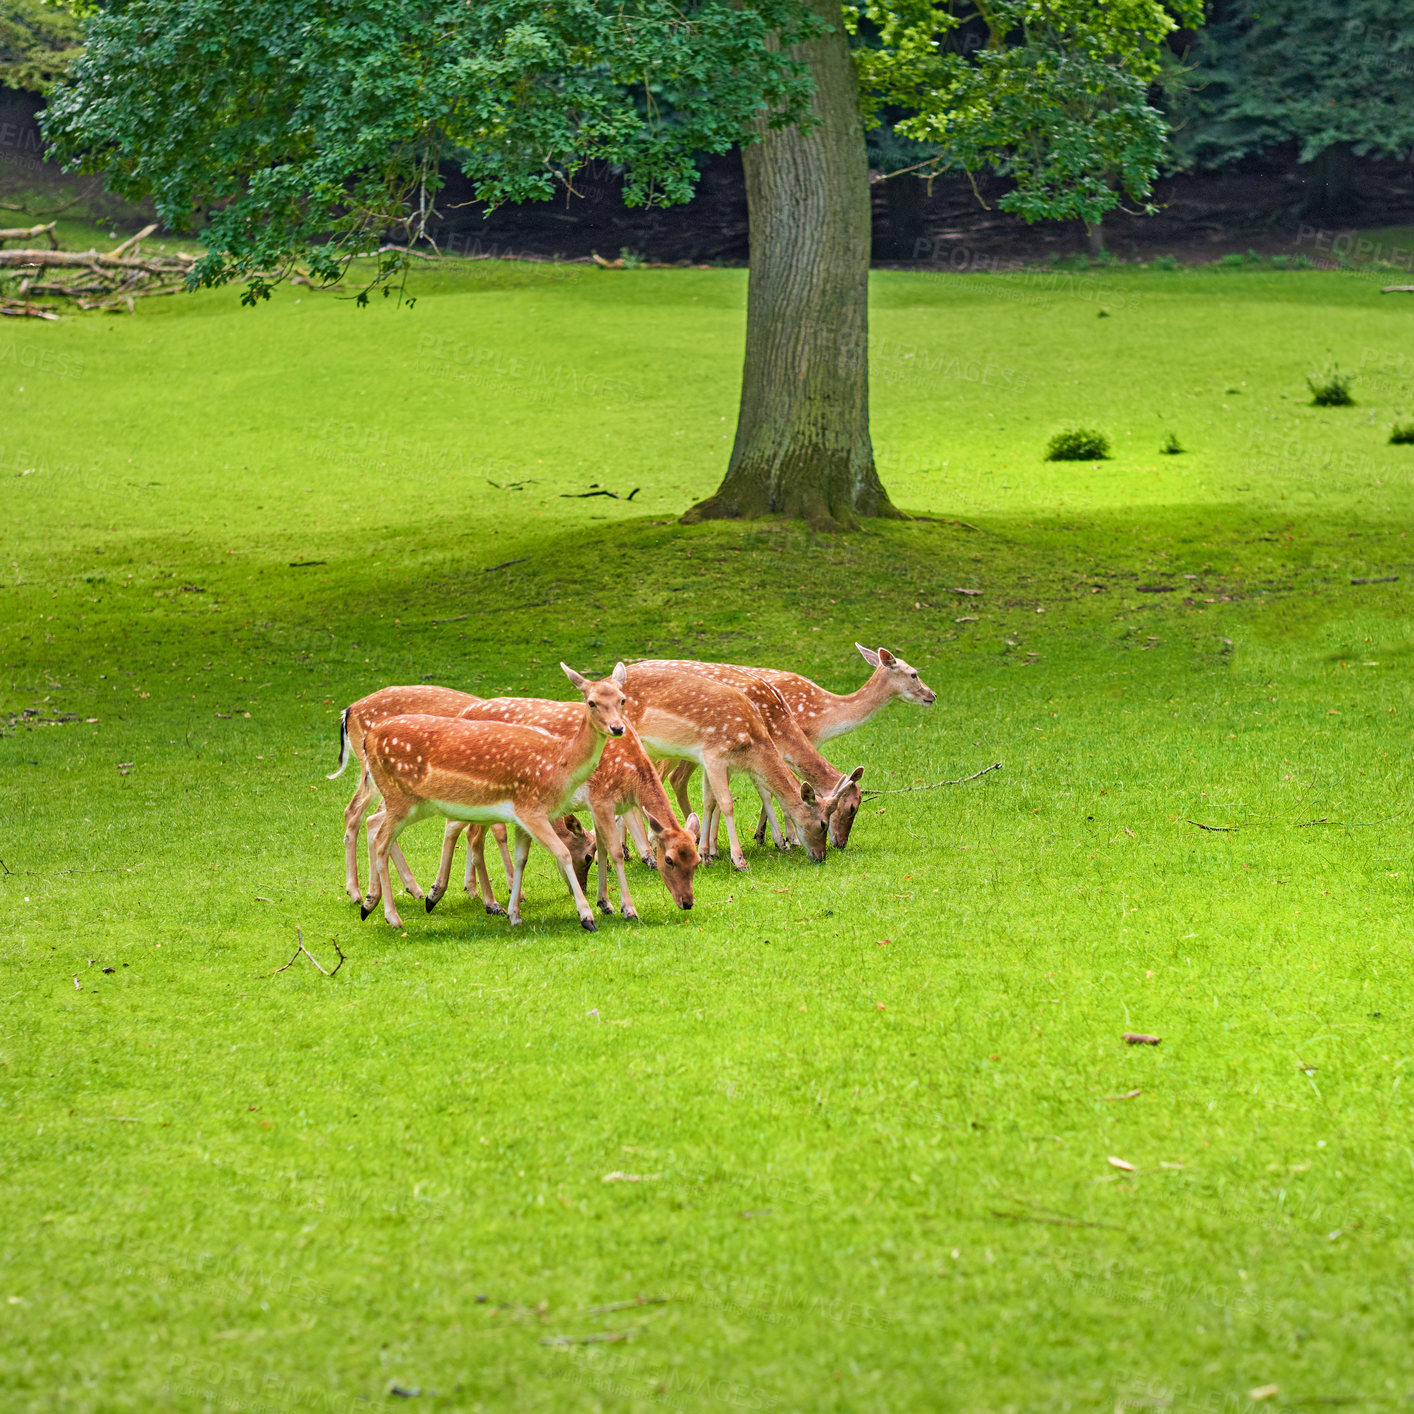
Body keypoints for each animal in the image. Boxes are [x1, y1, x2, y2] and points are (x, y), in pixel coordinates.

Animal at [361, 664, 627, 933]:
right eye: (591, 702)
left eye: (622, 699)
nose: (618, 728)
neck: (559, 764)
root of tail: (367, 739)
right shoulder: (531, 809)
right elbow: (562, 853)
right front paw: (587, 917)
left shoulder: (522, 817)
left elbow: (521, 858)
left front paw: (514, 914)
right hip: (399, 799)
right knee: (381, 841)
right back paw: (392, 916)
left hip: (412, 804)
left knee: (373, 824)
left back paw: (369, 903)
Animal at [427, 701, 698, 921]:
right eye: (669, 860)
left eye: (696, 861)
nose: (687, 902)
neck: (630, 776)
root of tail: (464, 712)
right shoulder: (601, 798)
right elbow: (614, 852)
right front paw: (627, 909)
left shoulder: (597, 805)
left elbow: (601, 845)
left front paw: (605, 903)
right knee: (472, 835)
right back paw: (488, 903)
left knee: (459, 827)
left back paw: (445, 894)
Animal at [619, 661, 825, 871]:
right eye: (823, 823)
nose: (821, 856)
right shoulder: (715, 756)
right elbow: (727, 803)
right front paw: (739, 860)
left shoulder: (714, 763)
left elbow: (710, 801)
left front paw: (705, 854)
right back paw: (645, 854)